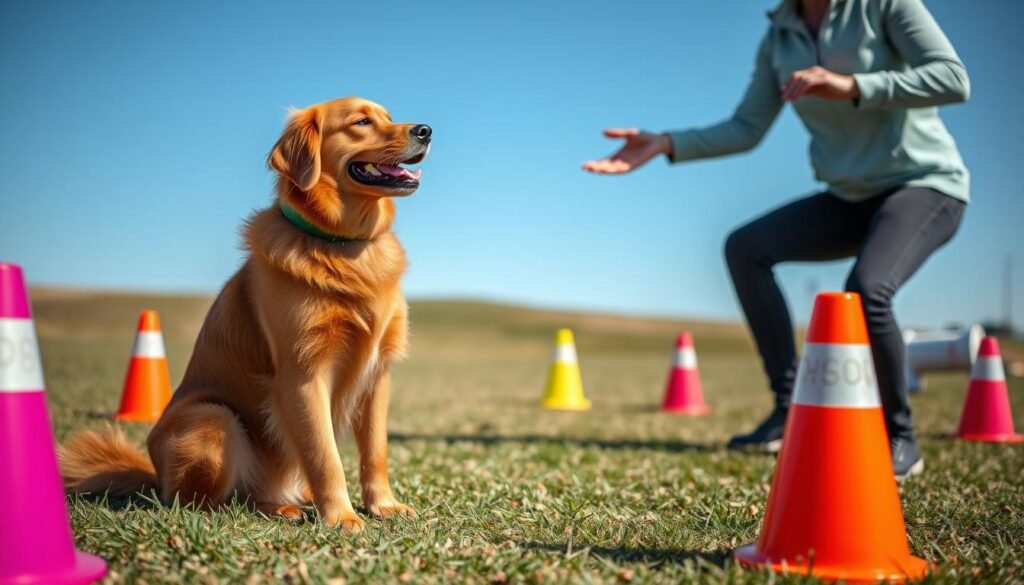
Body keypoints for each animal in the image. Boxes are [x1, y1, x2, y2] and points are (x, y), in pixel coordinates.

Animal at [60, 96, 428, 532]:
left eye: (388, 117)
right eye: (361, 122)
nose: (425, 130)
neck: (343, 246)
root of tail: (154, 478)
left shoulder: (378, 374)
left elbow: (375, 451)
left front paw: (382, 505)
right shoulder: (302, 373)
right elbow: (325, 456)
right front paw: (341, 517)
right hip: (213, 418)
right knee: (212, 502)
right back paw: (279, 508)